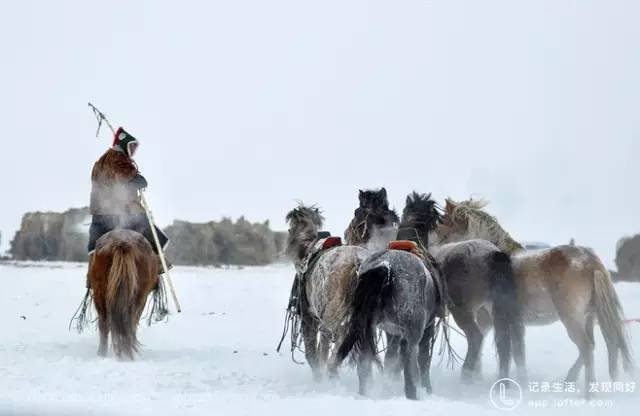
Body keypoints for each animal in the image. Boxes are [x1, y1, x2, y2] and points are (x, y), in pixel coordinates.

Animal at [87, 229, 168, 360]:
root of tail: (122, 242)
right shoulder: (142, 300)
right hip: (137, 297)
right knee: (128, 322)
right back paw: (127, 355)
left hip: (100, 293)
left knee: (105, 324)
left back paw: (103, 354)